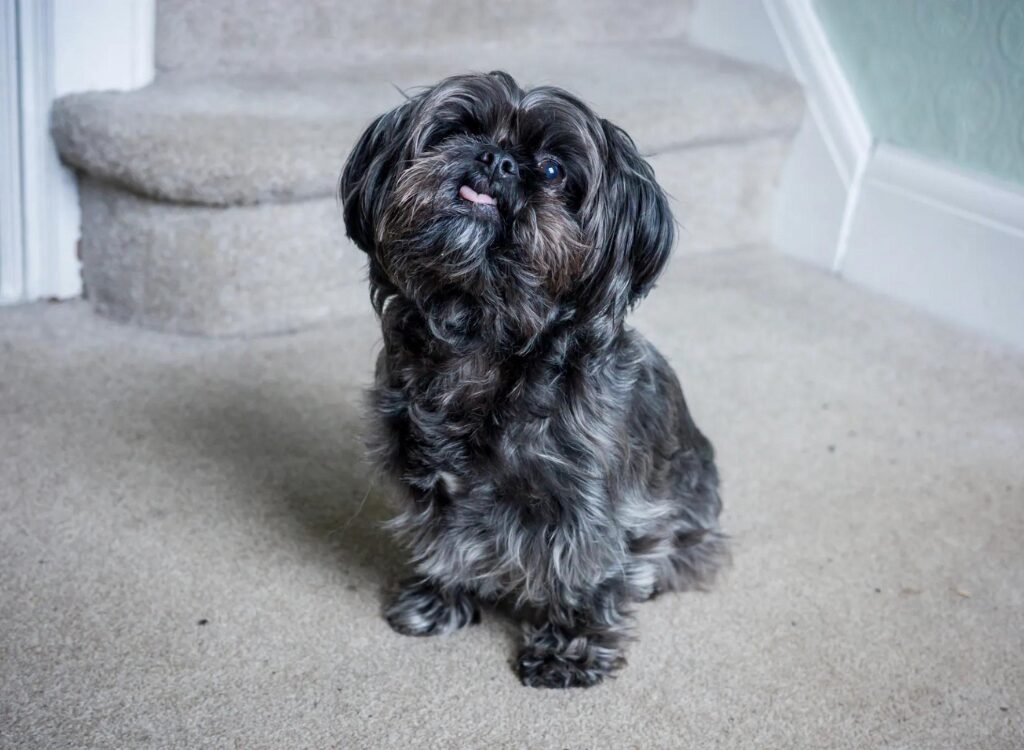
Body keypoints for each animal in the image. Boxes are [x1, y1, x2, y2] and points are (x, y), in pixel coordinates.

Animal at [339, 73, 724, 688]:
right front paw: (438, 600)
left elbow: (586, 575)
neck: (484, 335)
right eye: (457, 130)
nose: (496, 160)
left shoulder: (592, 508)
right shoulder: (428, 481)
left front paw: (571, 650)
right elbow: (442, 542)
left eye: (551, 170)